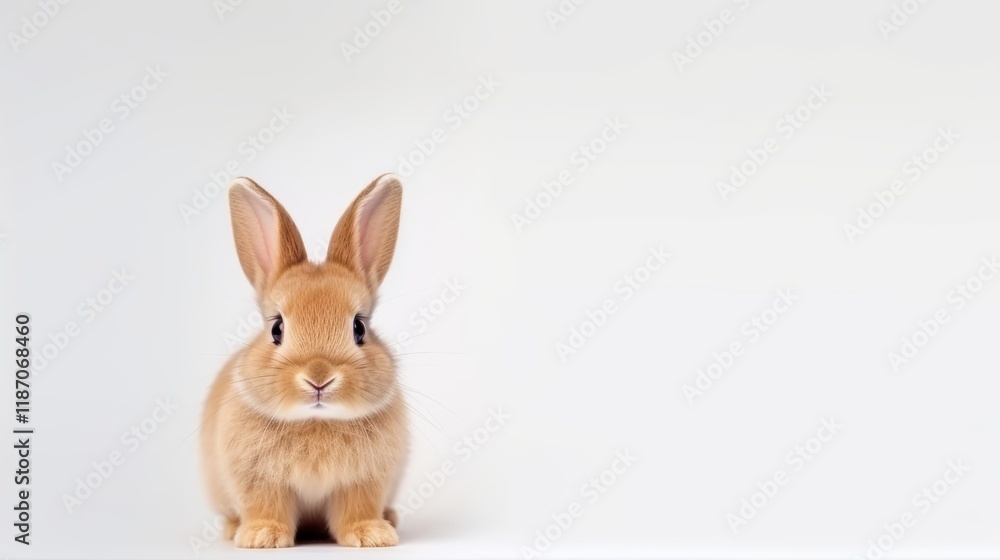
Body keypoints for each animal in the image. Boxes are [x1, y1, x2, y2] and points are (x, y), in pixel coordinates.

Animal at [200, 174, 408, 548]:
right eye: (277, 328)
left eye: (359, 328)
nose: (319, 377)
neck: (316, 421)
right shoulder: (259, 480)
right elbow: (266, 506)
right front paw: (262, 537)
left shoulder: (364, 482)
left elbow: (357, 509)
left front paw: (371, 535)